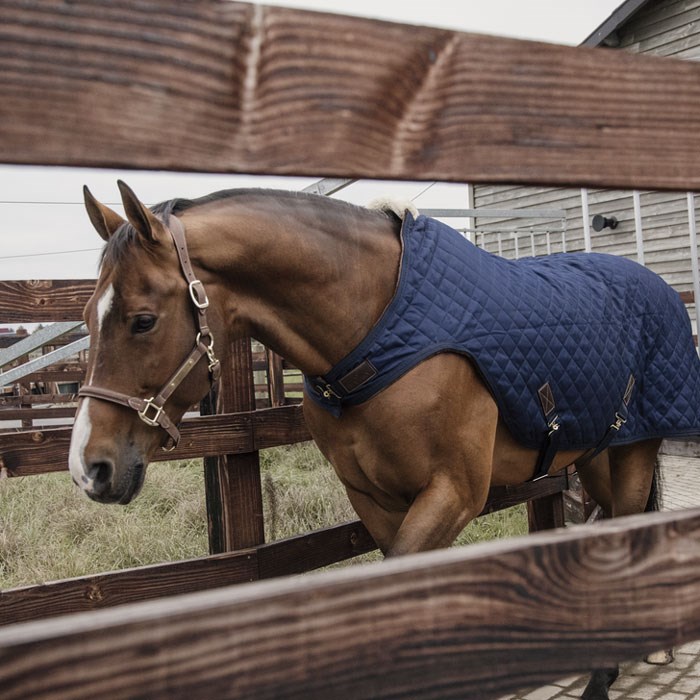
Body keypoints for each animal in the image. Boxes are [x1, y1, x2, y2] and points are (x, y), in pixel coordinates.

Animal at [69, 182, 672, 700]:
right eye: (87, 316)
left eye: (142, 320)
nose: (89, 467)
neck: (377, 333)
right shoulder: (374, 498)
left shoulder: (453, 493)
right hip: (595, 455)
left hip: (635, 449)